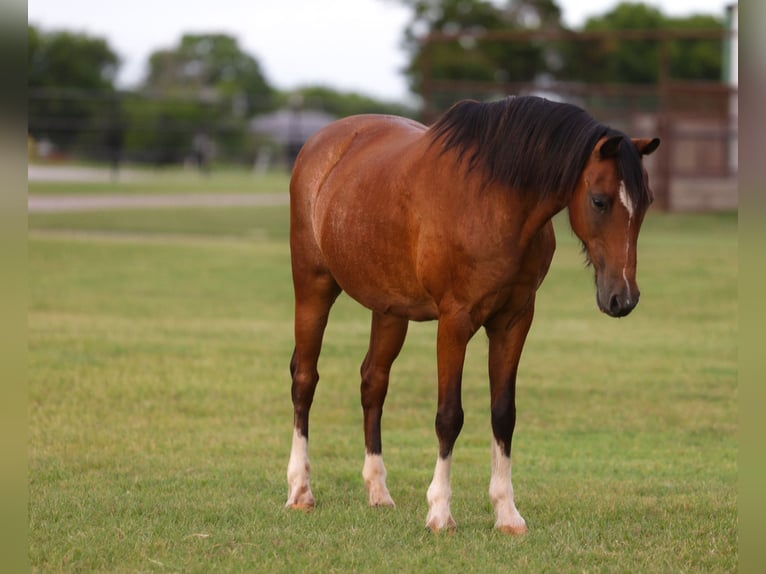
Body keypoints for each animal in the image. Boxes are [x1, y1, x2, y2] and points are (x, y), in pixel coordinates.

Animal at [285, 95, 660, 533]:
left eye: (646, 203)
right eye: (600, 200)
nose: (623, 297)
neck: (495, 202)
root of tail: (321, 143)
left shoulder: (514, 321)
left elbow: (503, 414)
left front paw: (507, 513)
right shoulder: (455, 322)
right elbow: (449, 415)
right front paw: (439, 512)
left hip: (390, 310)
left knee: (373, 381)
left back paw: (378, 490)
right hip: (313, 287)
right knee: (305, 379)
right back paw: (300, 491)